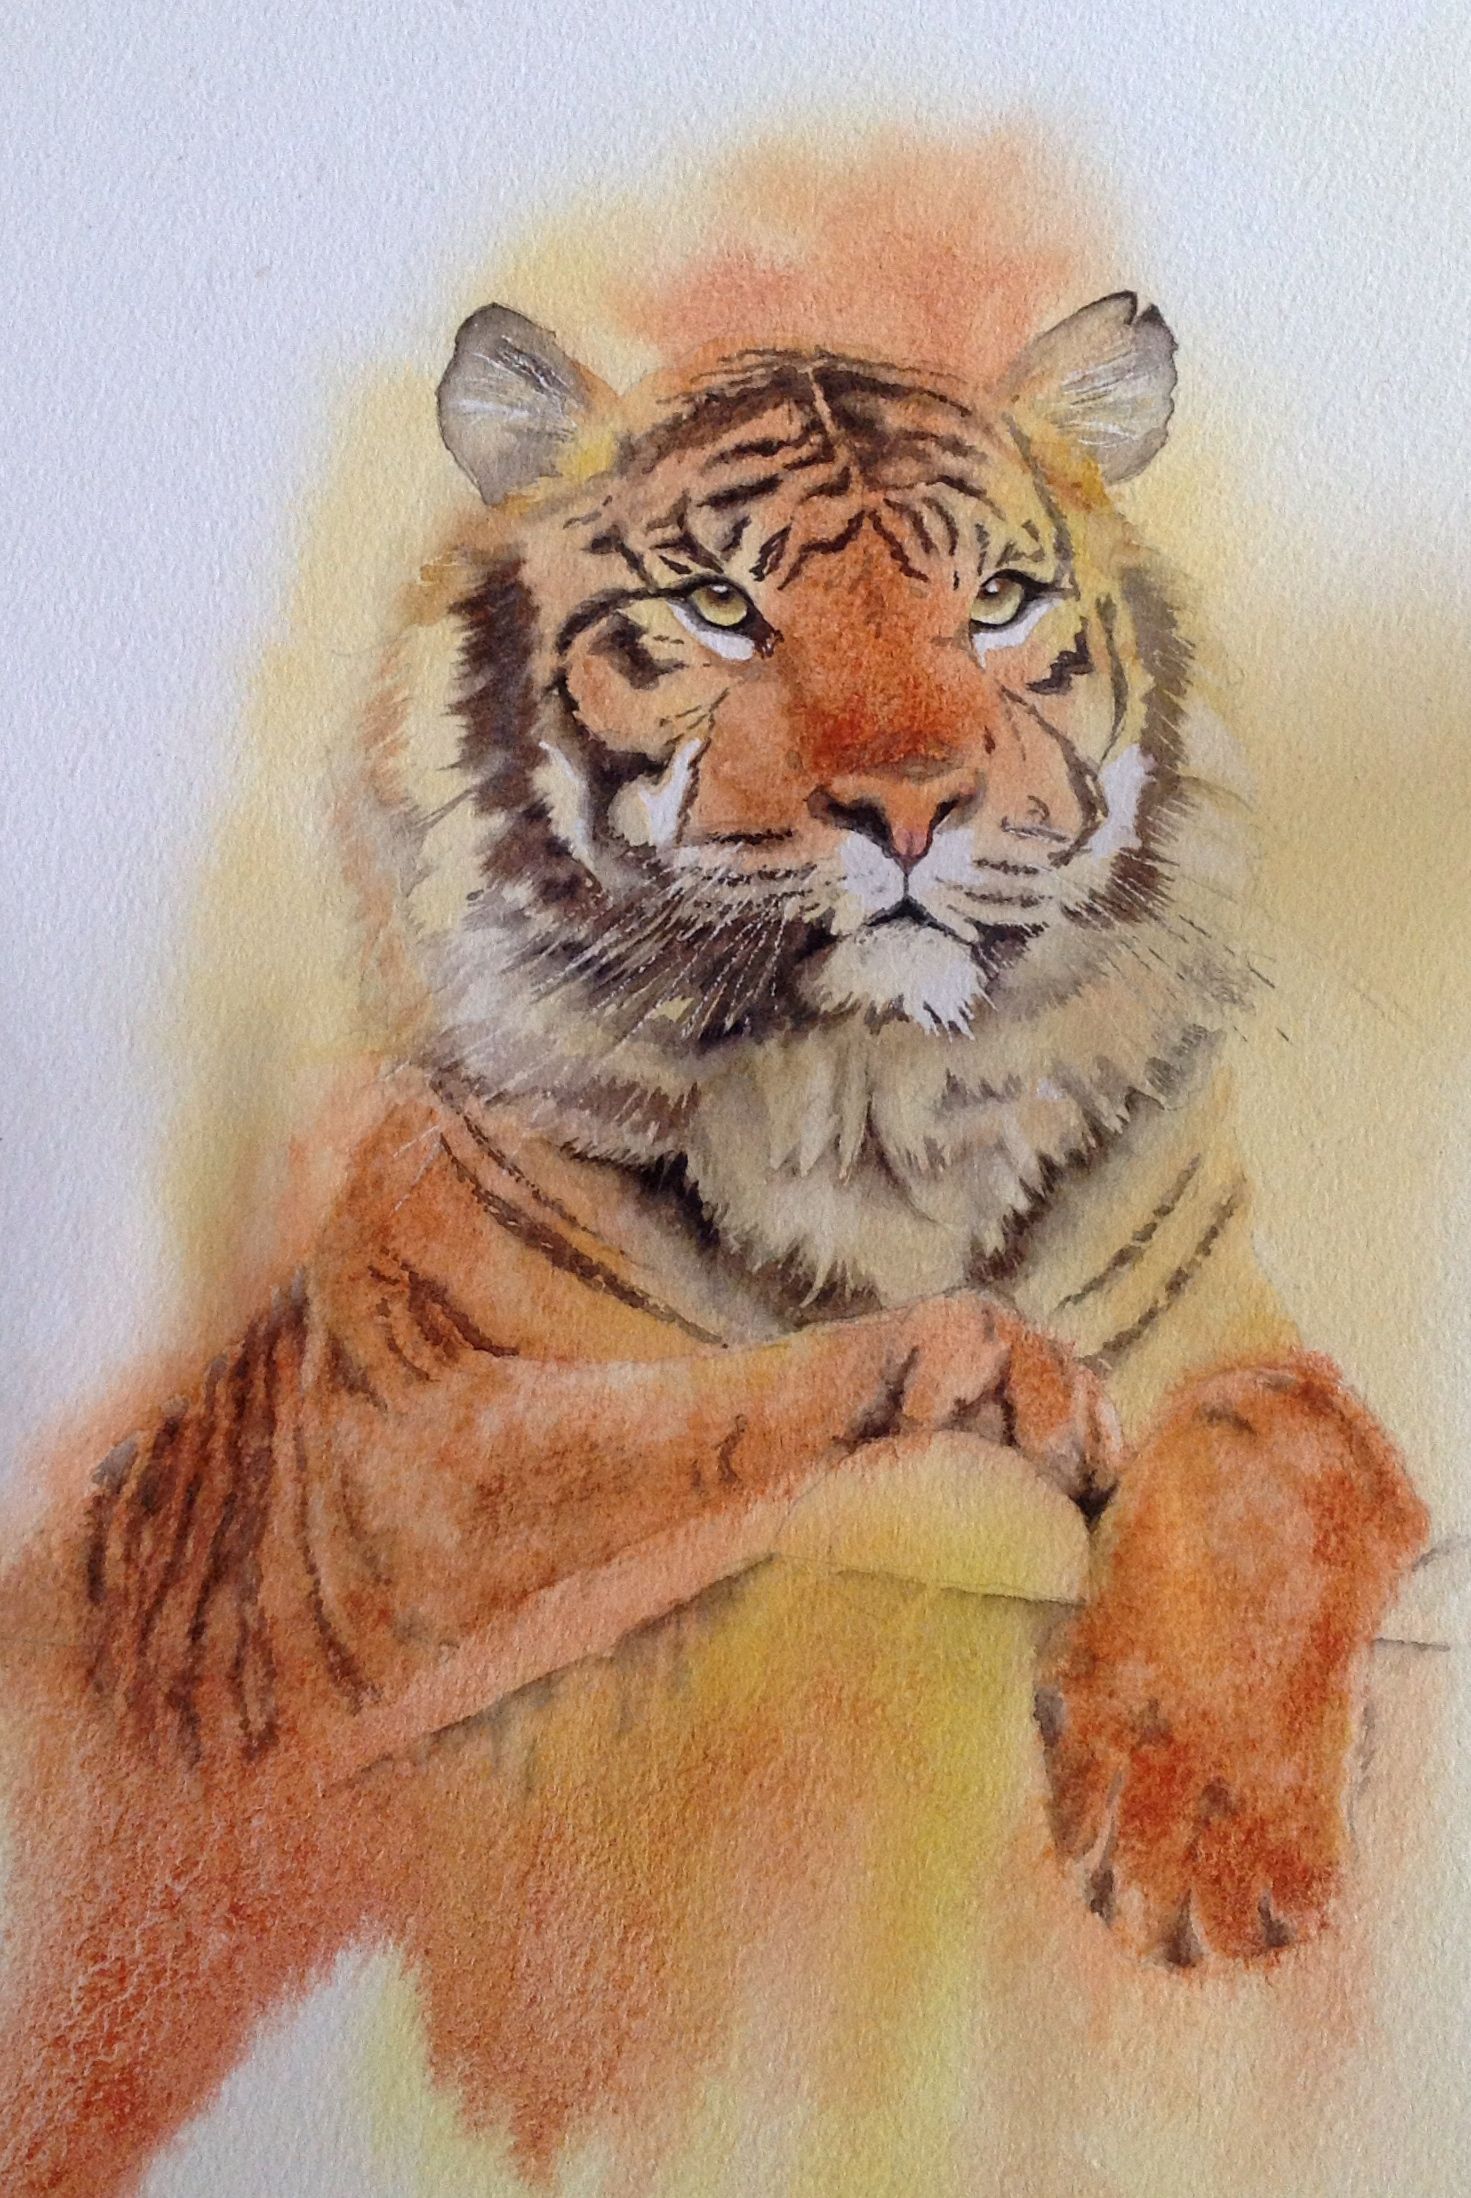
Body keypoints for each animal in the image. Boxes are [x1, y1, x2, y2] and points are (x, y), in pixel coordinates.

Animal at [0, 289, 1427, 2196]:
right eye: (716, 607)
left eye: (998, 599)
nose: (910, 804)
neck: (876, 1101)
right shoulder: (393, 1482)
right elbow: (699, 1419)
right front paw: (991, 1378)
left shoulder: (1244, 1349)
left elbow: (1280, 1463)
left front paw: (1203, 1830)